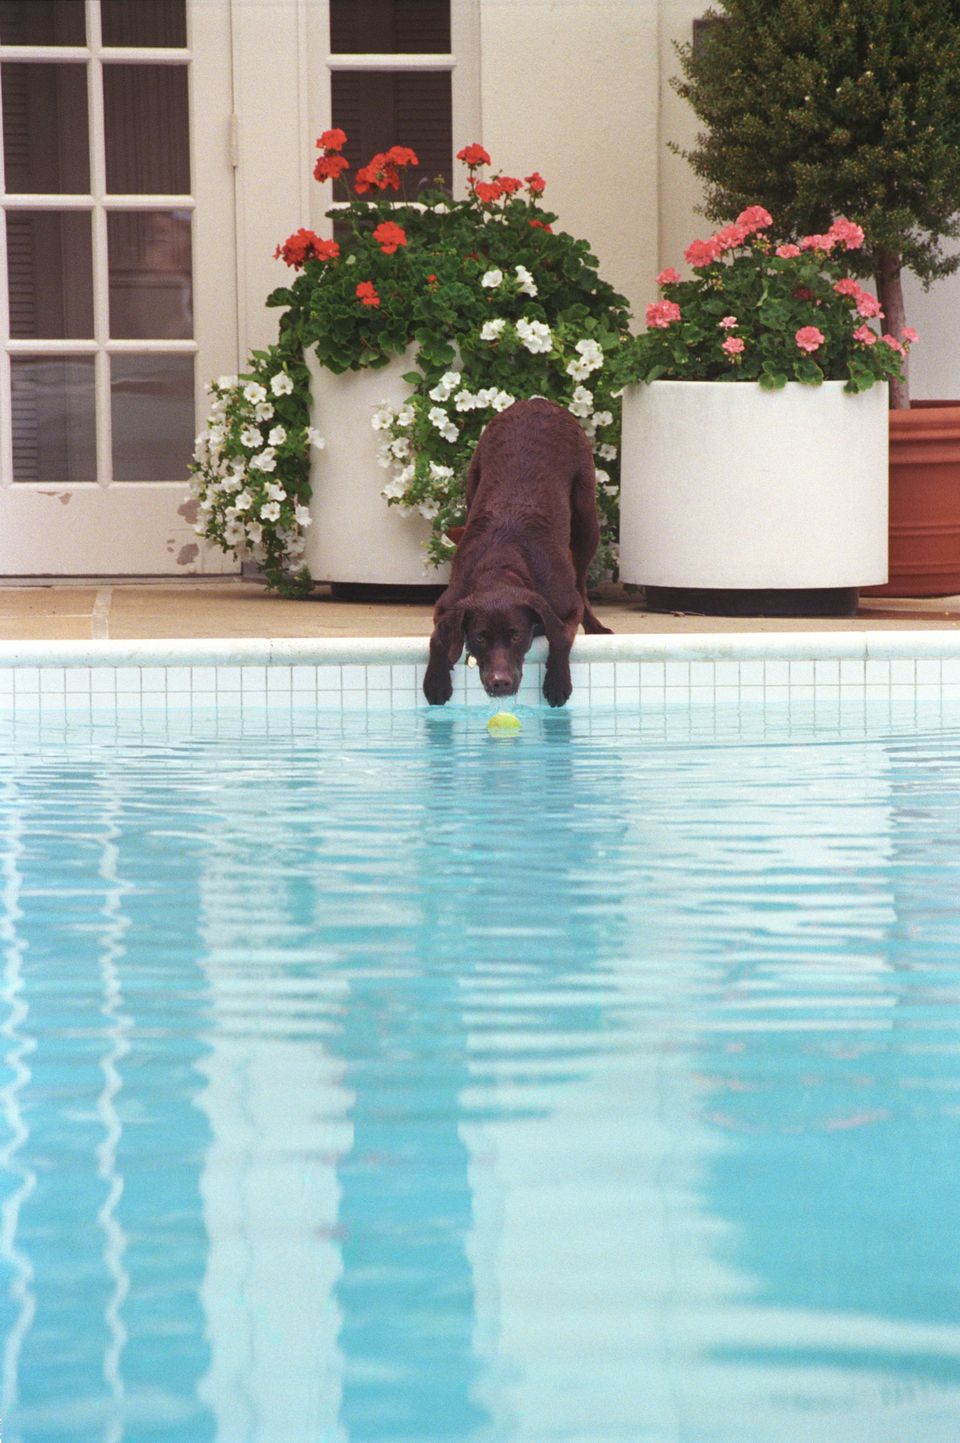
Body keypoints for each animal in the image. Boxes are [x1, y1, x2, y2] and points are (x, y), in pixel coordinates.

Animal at [424, 398, 609, 707]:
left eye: (516, 636)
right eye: (480, 638)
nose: (500, 683)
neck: (502, 565)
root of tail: (538, 401)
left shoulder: (566, 604)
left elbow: (561, 636)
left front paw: (557, 682)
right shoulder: (447, 604)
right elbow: (437, 636)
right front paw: (436, 681)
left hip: (586, 519)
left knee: (582, 583)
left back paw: (597, 627)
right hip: (473, 483)